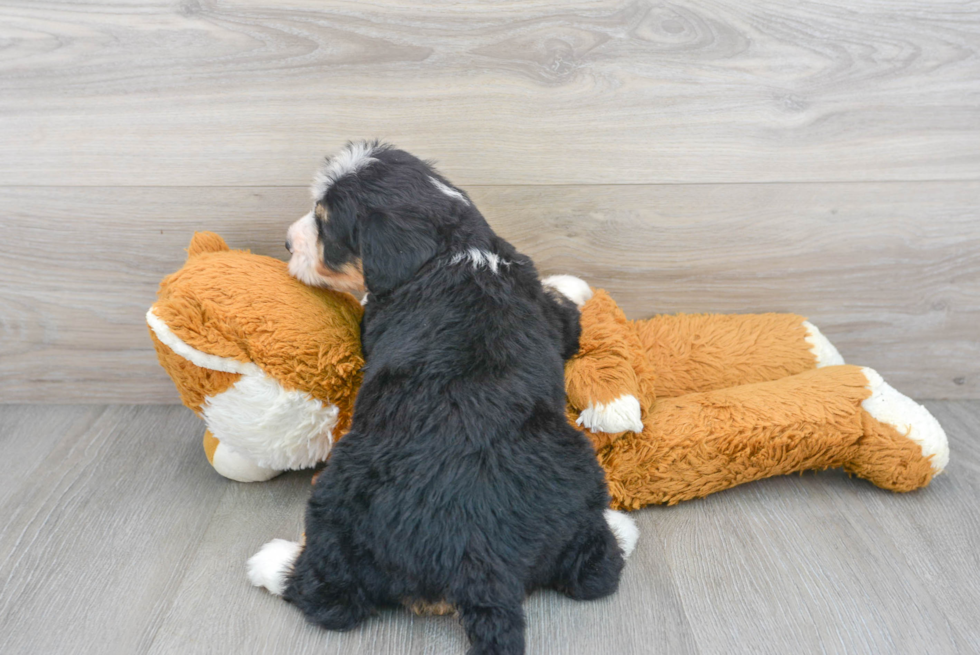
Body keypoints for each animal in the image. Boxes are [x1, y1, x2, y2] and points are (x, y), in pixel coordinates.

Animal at [249, 141, 640, 652]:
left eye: (325, 226)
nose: (286, 243)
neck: (450, 251)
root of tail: (478, 560)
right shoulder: (549, 320)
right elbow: (563, 310)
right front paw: (572, 283)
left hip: (336, 502)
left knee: (331, 596)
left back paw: (272, 561)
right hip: (578, 473)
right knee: (595, 571)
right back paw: (621, 528)